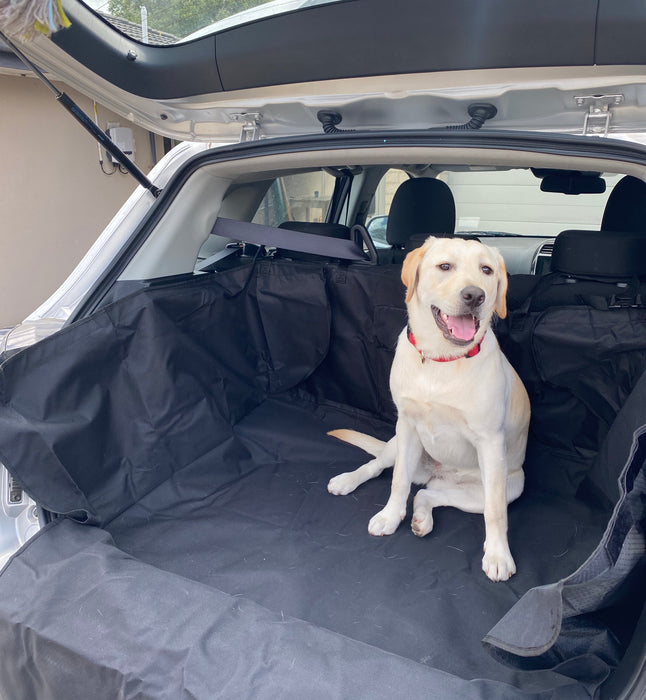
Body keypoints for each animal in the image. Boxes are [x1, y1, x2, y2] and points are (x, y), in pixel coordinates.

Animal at [330, 235, 532, 580]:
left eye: (487, 270)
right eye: (445, 266)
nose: (474, 295)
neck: (441, 359)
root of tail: (438, 474)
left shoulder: (491, 443)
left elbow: (495, 513)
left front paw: (498, 555)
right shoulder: (407, 426)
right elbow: (398, 481)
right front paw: (389, 516)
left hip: (503, 486)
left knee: (429, 494)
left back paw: (422, 518)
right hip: (397, 444)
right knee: (378, 466)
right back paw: (347, 480)